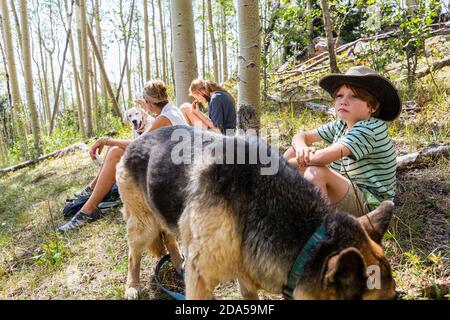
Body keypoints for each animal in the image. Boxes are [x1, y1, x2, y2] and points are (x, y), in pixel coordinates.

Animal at [117, 125, 398, 300]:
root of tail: (136, 140)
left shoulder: (245, 270)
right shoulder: (201, 282)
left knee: (169, 236)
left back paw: (177, 263)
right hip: (143, 226)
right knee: (134, 253)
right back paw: (132, 286)